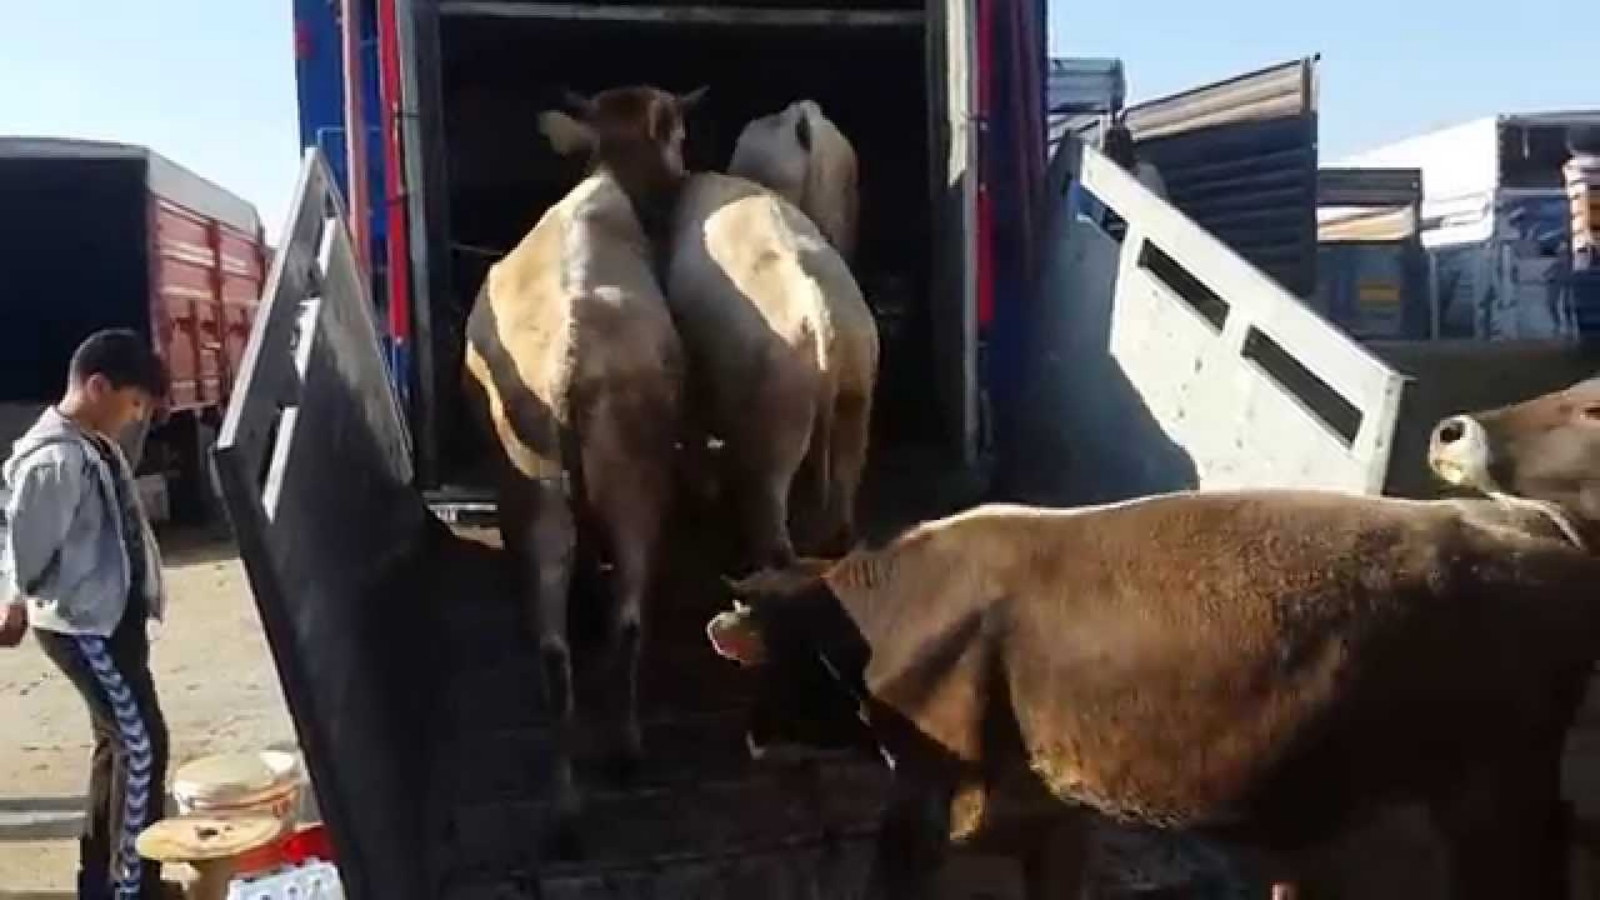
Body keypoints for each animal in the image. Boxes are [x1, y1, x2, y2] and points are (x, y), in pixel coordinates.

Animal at [467, 84, 704, 832]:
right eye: (680, 135)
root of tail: (567, 364)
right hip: (626, 488)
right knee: (610, 630)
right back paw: (608, 768)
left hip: (543, 497)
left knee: (565, 646)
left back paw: (578, 795)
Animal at [668, 169, 883, 566]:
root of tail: (819, 311)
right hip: (858, 380)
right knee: (848, 462)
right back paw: (838, 541)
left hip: (783, 396)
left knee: (771, 484)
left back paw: (770, 558)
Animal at [707, 474, 1600, 890]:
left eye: (763, 662)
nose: (747, 738)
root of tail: (1524, 517)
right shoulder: (1052, 806)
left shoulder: (928, 796)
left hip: (1486, 799)